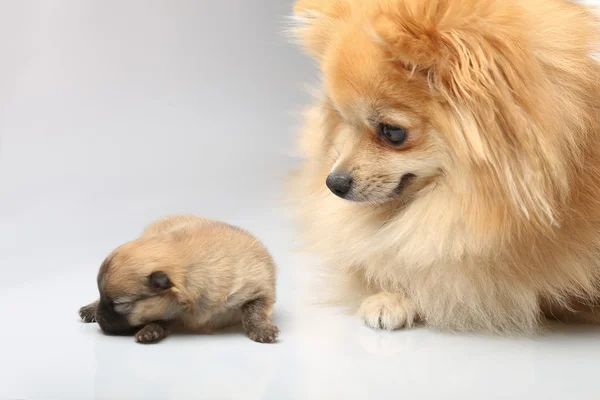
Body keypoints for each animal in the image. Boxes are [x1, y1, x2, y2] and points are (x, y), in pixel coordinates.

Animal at [77, 216, 278, 344]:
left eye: (120, 304)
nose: (99, 319)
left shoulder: (258, 287)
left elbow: (254, 311)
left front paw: (261, 329)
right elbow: (161, 319)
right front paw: (151, 330)